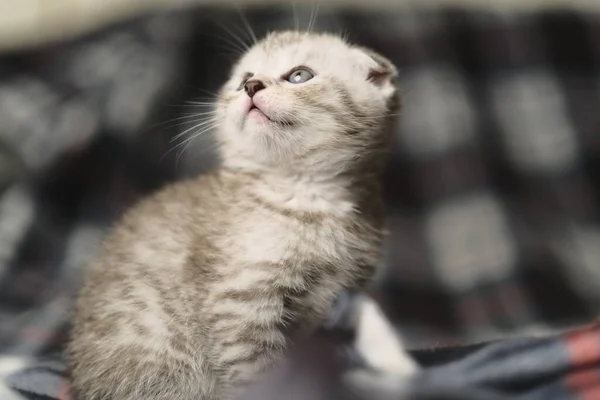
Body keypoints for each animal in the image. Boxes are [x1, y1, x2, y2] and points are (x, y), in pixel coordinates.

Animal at [65, 31, 412, 400]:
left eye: (299, 75)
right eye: (245, 78)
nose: (251, 87)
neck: (305, 195)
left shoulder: (338, 297)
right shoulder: (239, 302)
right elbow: (258, 372)